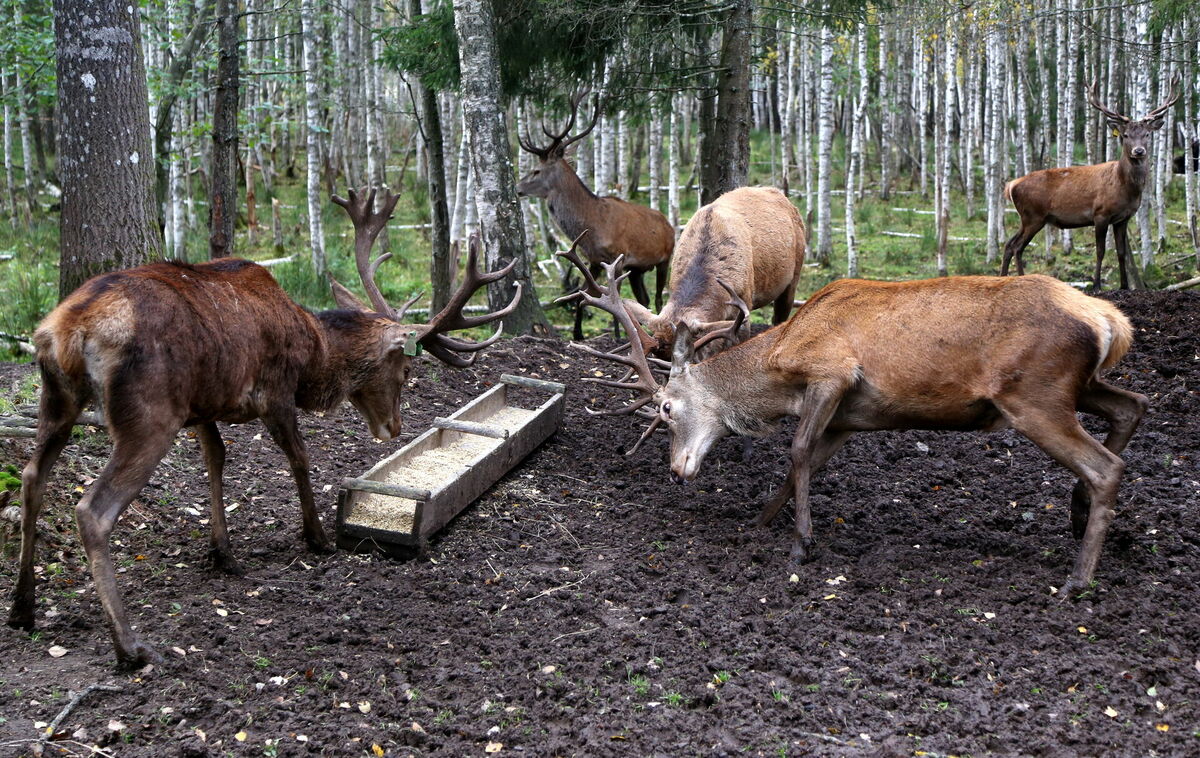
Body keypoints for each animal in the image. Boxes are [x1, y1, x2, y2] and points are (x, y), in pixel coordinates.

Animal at [5, 187, 520, 666]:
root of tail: (67, 330)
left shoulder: (203, 405)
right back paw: (130, 645)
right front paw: (317, 537)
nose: (393, 427)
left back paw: (22, 608)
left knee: (31, 476)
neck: (314, 352)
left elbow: (217, 458)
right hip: (149, 415)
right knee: (93, 509)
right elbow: (300, 459)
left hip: (57, 400)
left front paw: (224, 553)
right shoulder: (275, 392)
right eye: (407, 370)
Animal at [516, 90, 676, 338]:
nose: (517, 188)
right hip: (637, 269)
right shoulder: (594, 260)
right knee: (645, 298)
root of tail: (669, 225)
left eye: (536, 170)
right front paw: (578, 333)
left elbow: (615, 302)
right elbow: (582, 296)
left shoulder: (618, 258)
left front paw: (618, 336)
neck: (593, 226)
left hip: (665, 258)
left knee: (659, 298)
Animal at [566, 254, 1147, 597]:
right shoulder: (852, 417)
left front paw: (802, 542)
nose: (676, 470)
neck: (780, 360)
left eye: (666, 409)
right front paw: (759, 524)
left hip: (1034, 395)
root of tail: (1110, 320)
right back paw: (1077, 515)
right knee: (1132, 405)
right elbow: (802, 466)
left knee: (1106, 465)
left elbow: (797, 451)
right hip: (1076, 387)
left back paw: (1078, 577)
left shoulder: (831, 372)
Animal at [1003, 76, 1180, 290]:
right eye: (1125, 135)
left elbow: (1121, 252)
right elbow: (1100, 250)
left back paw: (1002, 277)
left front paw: (1124, 285)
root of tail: (1011, 185)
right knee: (1017, 246)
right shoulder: (1100, 213)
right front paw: (1096, 285)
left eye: (1147, 134)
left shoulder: (1123, 218)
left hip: (1027, 218)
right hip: (1033, 216)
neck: (1125, 187)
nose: (1138, 151)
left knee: (1009, 244)